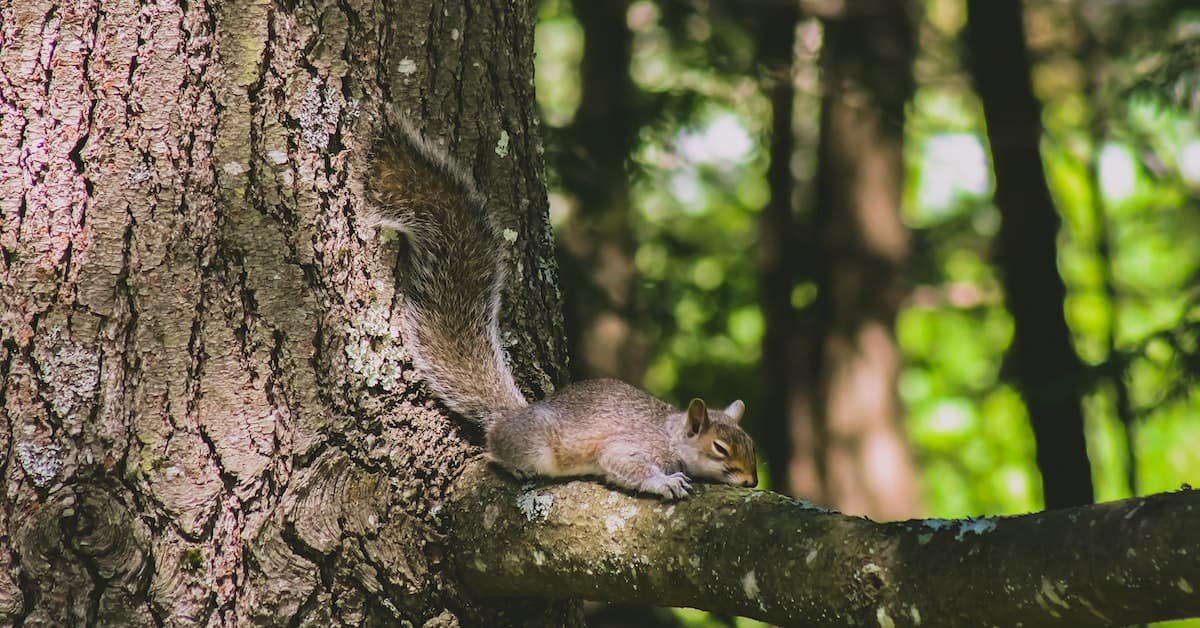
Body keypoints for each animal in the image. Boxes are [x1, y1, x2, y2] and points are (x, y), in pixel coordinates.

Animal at [364, 124, 758, 501]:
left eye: (751, 445)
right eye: (720, 448)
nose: (752, 481)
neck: (671, 435)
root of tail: (509, 416)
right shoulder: (630, 446)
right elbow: (625, 464)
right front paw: (664, 482)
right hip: (535, 446)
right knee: (492, 451)